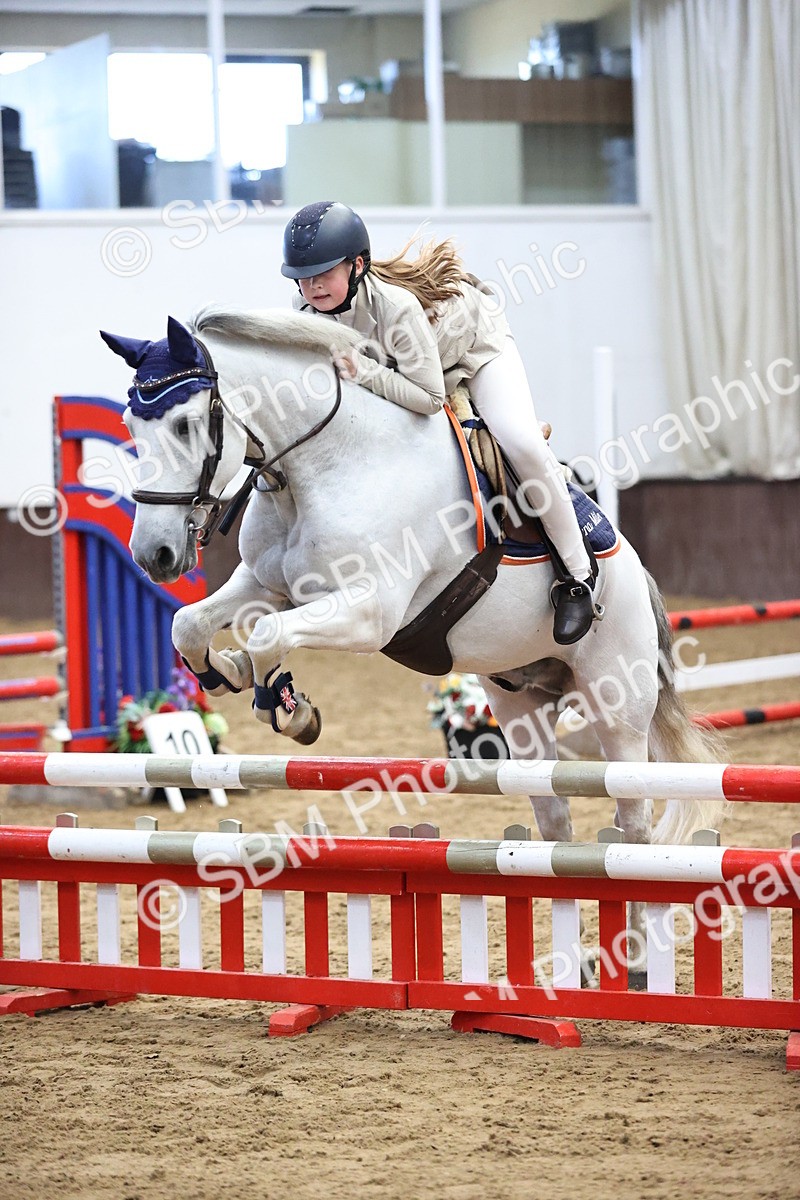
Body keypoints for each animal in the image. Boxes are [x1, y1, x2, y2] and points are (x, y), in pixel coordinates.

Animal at [101, 308, 724, 985]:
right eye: (132, 426)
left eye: (187, 423)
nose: (155, 555)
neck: (322, 465)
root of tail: (634, 568)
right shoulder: (266, 586)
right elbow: (190, 625)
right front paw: (234, 672)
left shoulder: (371, 612)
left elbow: (270, 635)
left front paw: (288, 709)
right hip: (521, 706)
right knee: (554, 815)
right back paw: (577, 959)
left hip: (618, 703)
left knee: (632, 818)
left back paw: (631, 959)